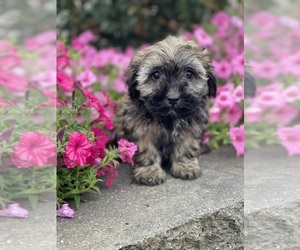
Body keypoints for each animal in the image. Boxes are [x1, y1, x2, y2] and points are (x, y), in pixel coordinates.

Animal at [114, 36, 216, 185]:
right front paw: (149, 171)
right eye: (156, 75)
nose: (173, 98)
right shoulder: (140, 130)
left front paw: (185, 166)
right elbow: (147, 151)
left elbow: (186, 146)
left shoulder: (191, 128)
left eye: (189, 73)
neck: (169, 118)